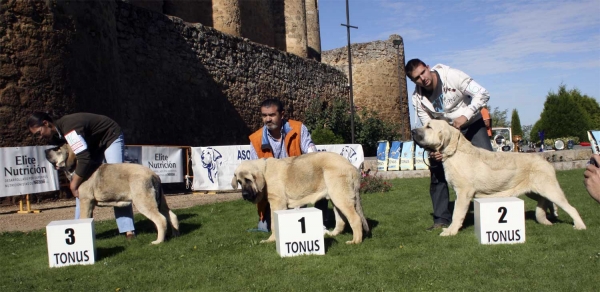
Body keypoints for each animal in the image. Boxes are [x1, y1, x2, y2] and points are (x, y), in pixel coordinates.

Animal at [45, 144, 179, 244]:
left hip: (144, 202)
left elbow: (83, 218)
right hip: (160, 201)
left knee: (161, 219)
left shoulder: (85, 201)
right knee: (171, 215)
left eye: (57, 149)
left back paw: (158, 241)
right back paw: (175, 234)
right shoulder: (89, 204)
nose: (45, 150)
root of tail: (153, 175)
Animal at [231, 152, 368, 245]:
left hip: (340, 197)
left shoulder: (277, 203)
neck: (264, 172)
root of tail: (352, 167)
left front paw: (271, 240)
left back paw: (356, 241)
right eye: (239, 182)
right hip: (336, 198)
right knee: (341, 220)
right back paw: (332, 233)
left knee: (355, 219)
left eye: (248, 180)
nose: (244, 195)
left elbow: (274, 225)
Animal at [412, 120, 584, 236]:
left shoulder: (463, 192)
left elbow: (457, 213)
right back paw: (548, 216)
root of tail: (546, 161)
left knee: (570, 207)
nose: (413, 132)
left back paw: (580, 225)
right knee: (546, 201)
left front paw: (450, 231)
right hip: (534, 191)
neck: (455, 152)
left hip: (550, 189)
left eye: (429, 127)